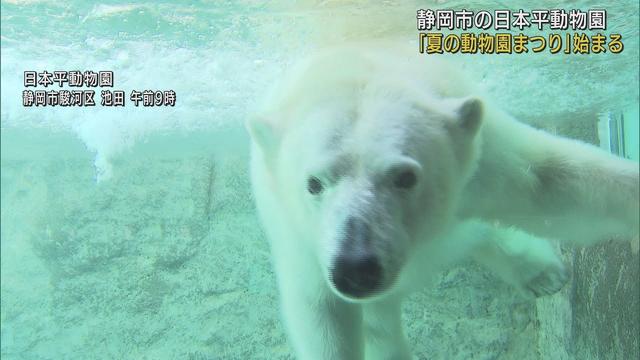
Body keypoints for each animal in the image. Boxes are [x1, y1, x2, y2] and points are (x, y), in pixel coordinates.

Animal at [246, 43, 640, 360]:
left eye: (405, 177)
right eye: (313, 184)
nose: (357, 268)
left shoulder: (478, 155)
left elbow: (547, 179)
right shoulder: (300, 239)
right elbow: (325, 312)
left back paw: (542, 273)